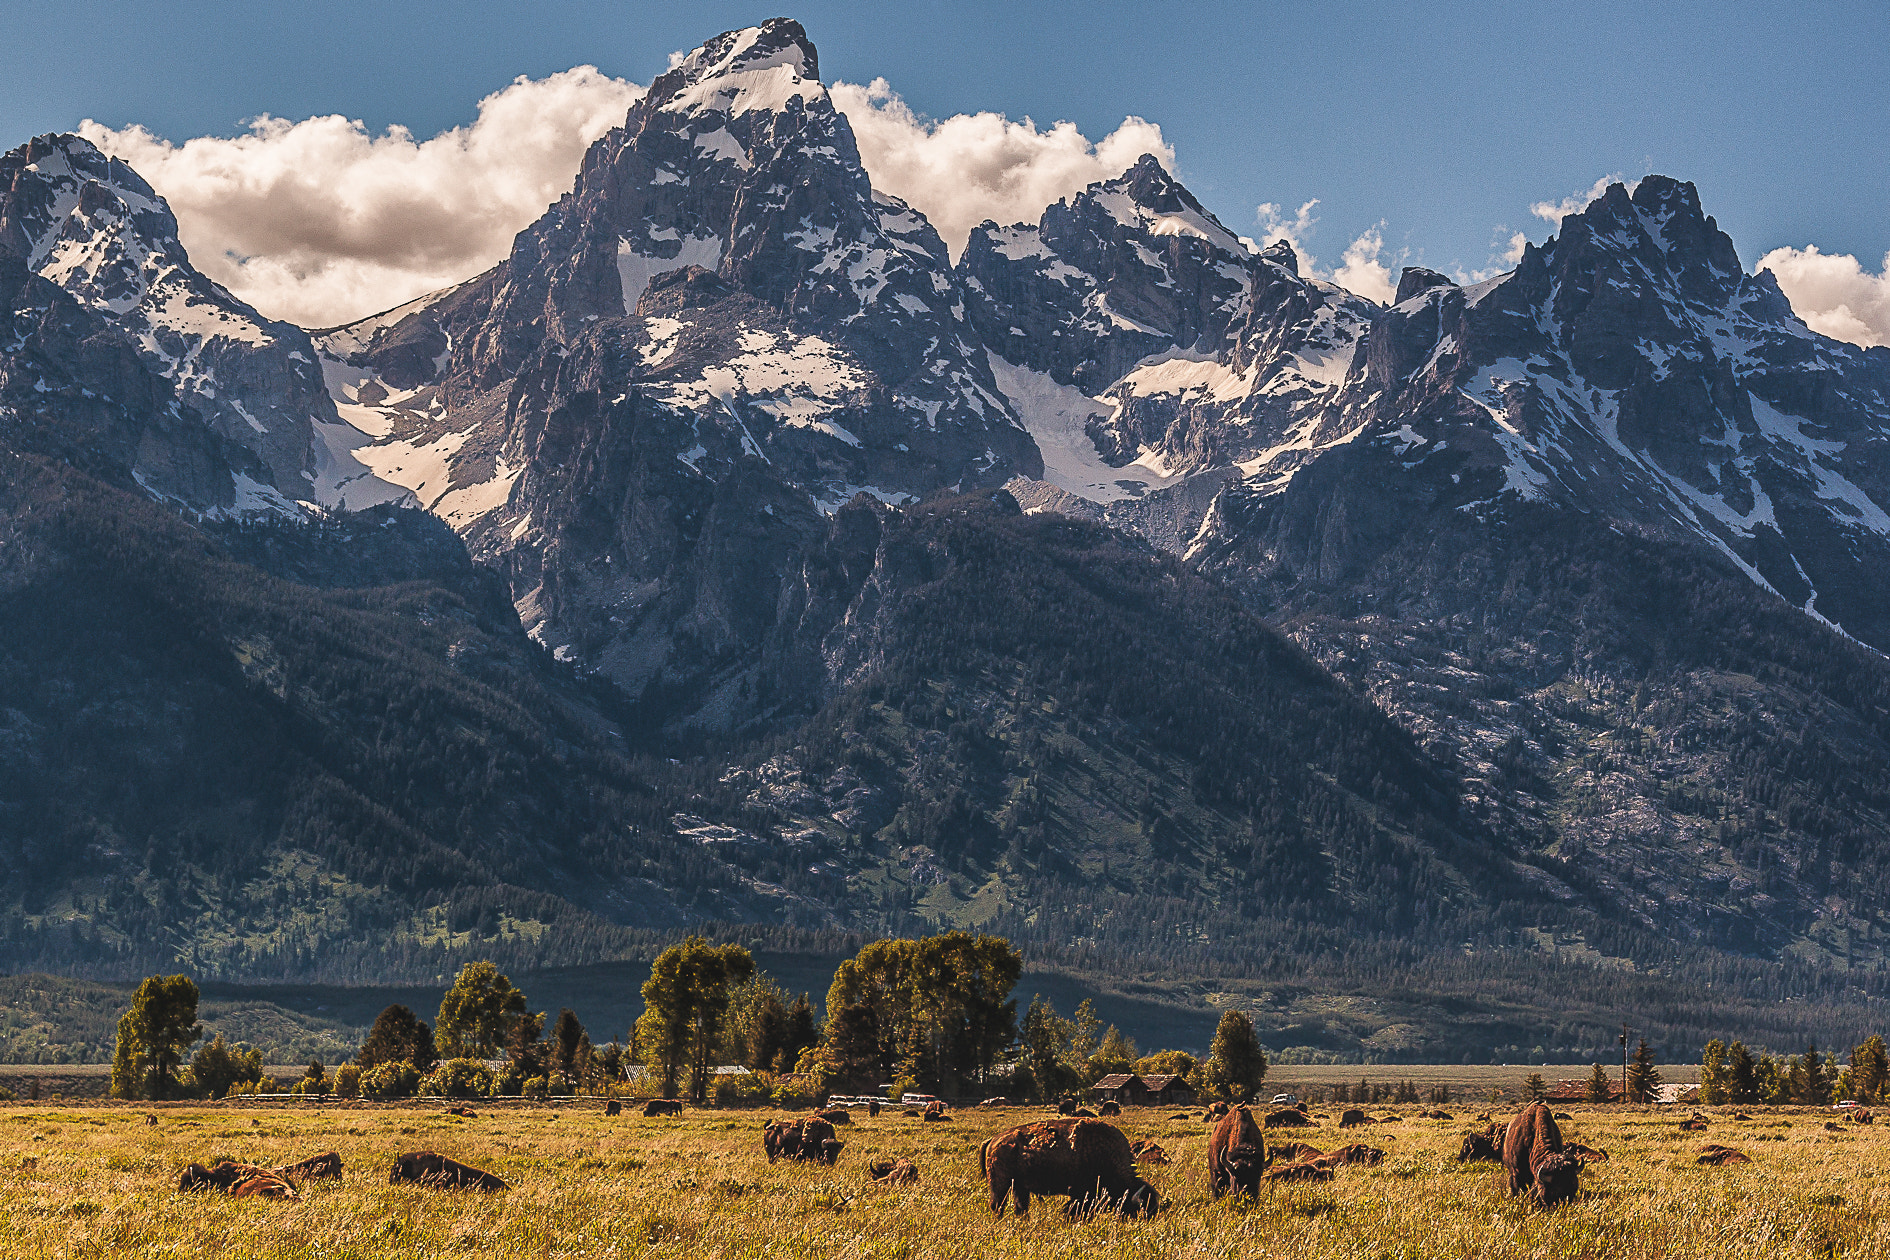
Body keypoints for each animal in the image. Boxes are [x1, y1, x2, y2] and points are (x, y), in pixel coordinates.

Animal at [982, 1125, 1156, 1224]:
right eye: (1140, 1208)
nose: (1145, 1223)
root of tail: (993, 1140)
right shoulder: (1083, 1195)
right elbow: (1074, 1209)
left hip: (1019, 1186)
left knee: (1020, 1207)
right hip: (1001, 1184)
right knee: (998, 1205)